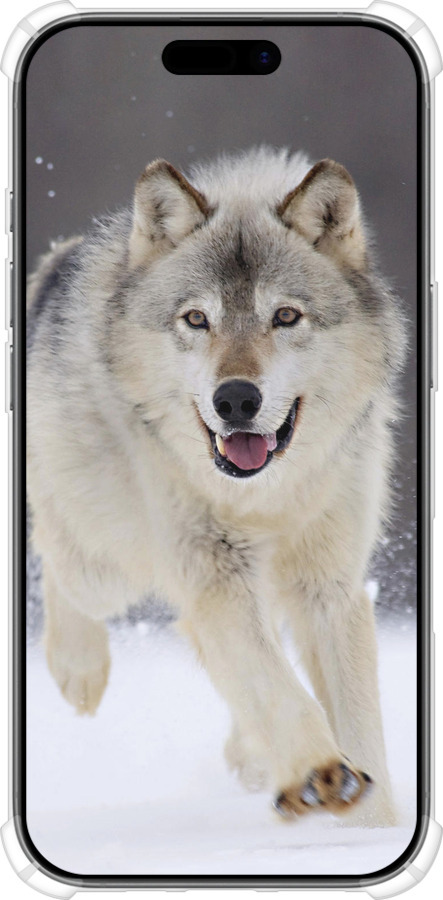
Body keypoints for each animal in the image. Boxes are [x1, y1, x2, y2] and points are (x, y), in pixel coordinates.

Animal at [27, 147, 405, 826]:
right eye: (197, 319)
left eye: (285, 316)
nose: (235, 399)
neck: (266, 497)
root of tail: (56, 261)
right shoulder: (214, 574)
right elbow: (278, 688)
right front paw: (320, 773)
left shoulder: (329, 586)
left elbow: (358, 722)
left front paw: (373, 827)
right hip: (108, 565)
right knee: (56, 555)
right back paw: (79, 671)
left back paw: (252, 757)